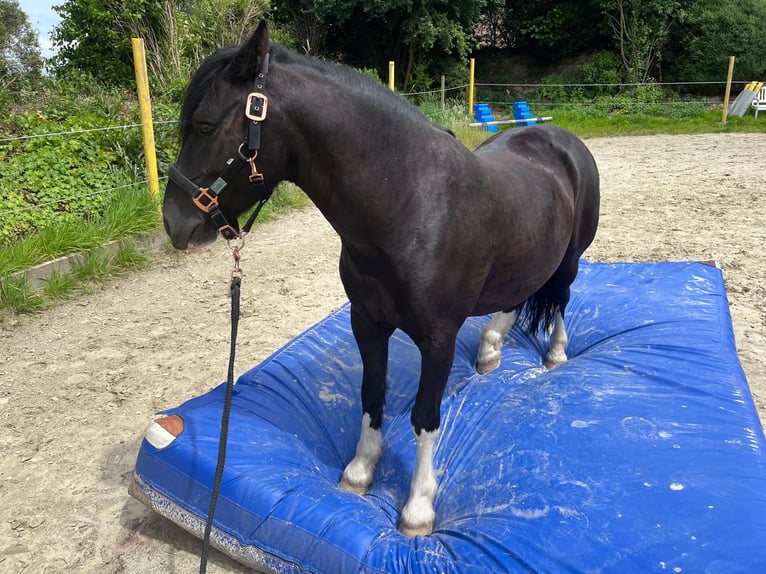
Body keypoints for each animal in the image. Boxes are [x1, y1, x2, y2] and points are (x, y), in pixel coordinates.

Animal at [163, 21, 600, 537]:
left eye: (205, 126)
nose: (173, 224)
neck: (411, 206)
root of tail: (561, 140)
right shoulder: (366, 322)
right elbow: (372, 395)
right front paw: (359, 471)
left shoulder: (438, 340)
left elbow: (425, 417)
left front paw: (418, 507)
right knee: (517, 296)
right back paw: (490, 349)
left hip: (569, 260)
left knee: (561, 300)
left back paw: (555, 355)